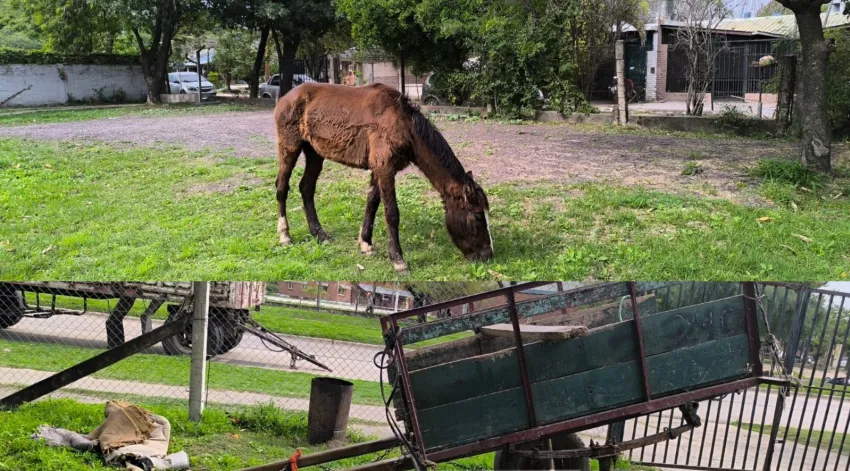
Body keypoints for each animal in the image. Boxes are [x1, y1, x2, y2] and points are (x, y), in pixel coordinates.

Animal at [273, 82, 493, 272]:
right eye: (478, 216)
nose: (488, 255)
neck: (403, 124)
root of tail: (285, 98)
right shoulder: (385, 169)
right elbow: (392, 213)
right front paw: (398, 259)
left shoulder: (380, 170)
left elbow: (372, 203)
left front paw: (365, 243)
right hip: (289, 148)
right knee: (282, 188)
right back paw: (285, 236)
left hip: (314, 152)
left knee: (306, 188)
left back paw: (319, 234)